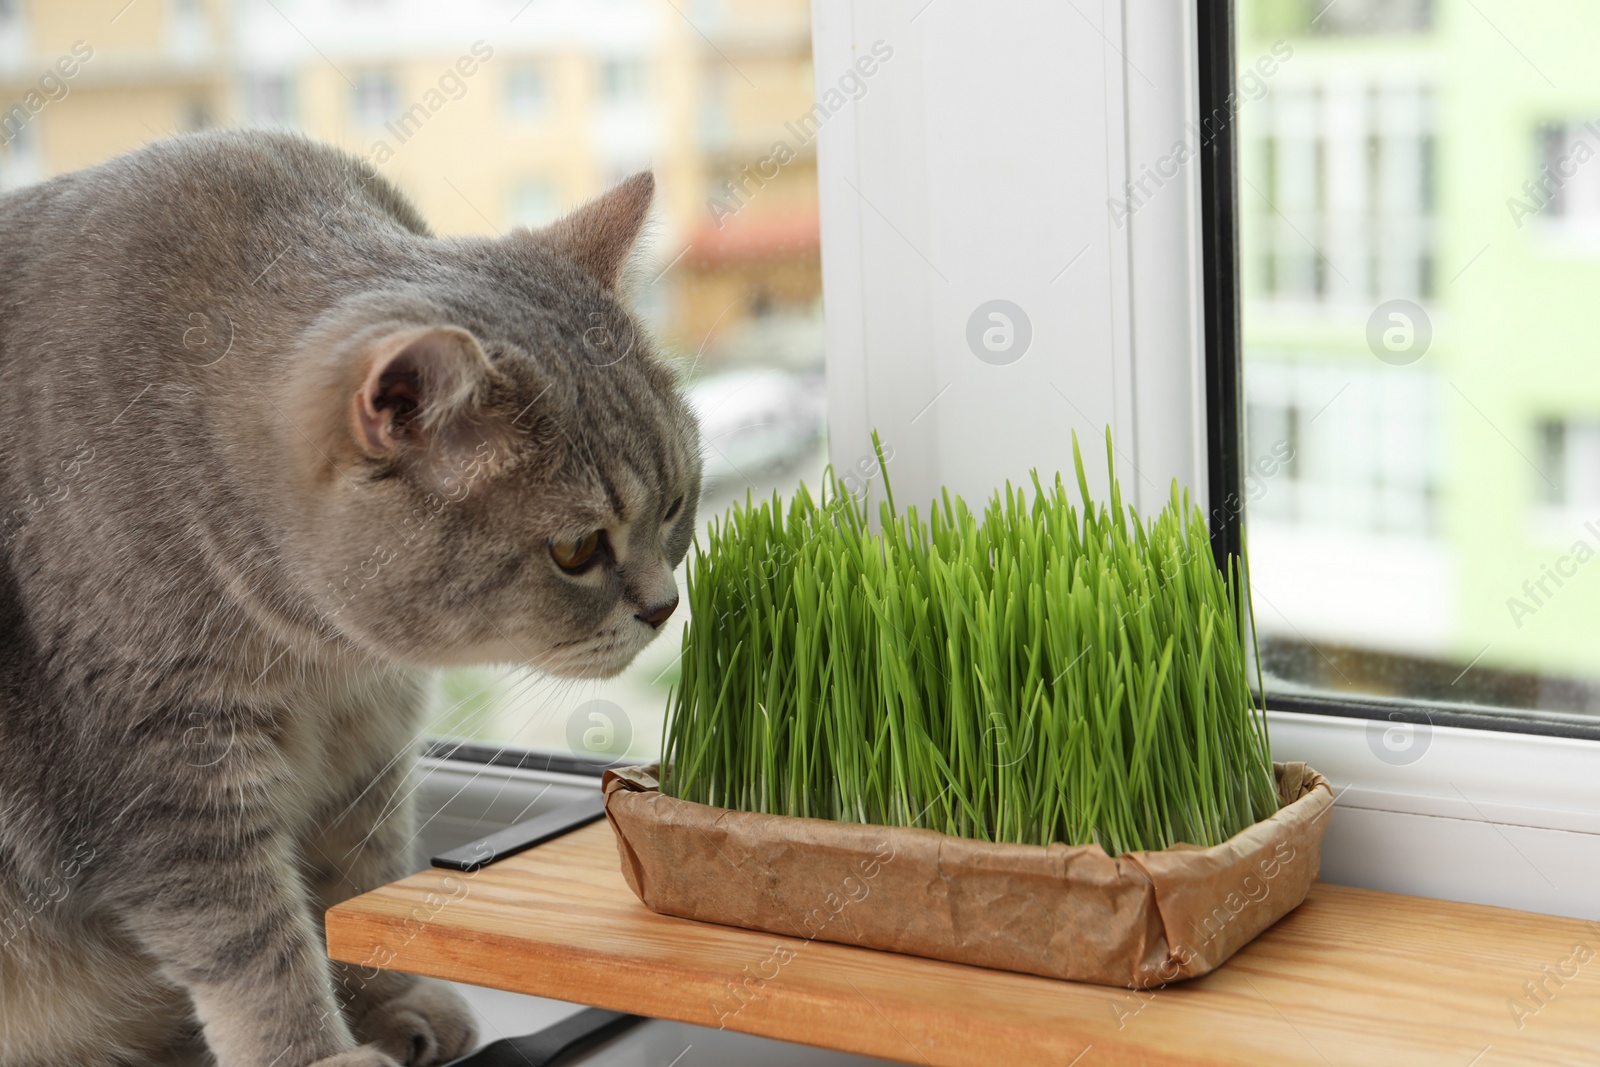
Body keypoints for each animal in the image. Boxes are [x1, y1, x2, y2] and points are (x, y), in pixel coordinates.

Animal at [0, 131, 700, 1067]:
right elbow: (257, 948)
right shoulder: (167, 783)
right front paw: (319, 1054)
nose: (664, 608)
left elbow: (356, 888)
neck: (324, 657)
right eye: (576, 551)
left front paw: (387, 1000)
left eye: (676, 503)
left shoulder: (370, 745)